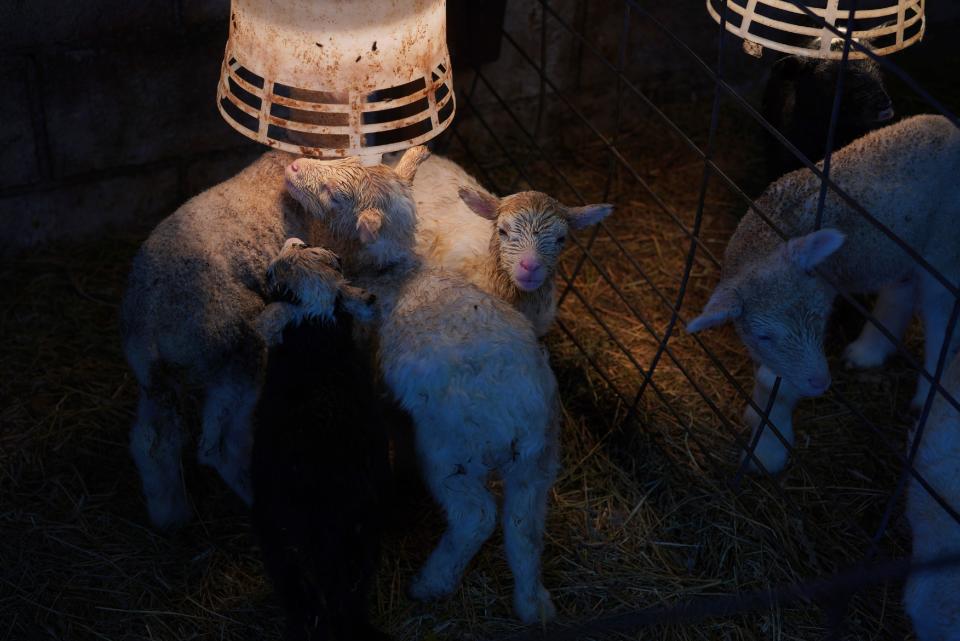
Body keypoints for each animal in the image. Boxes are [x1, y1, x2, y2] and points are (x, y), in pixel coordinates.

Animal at [282, 148, 564, 624]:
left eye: (334, 194)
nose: (294, 167)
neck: (396, 273)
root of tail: (519, 416)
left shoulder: (382, 389)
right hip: (537, 463)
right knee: (524, 528)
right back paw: (533, 604)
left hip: (453, 452)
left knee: (477, 517)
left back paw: (433, 582)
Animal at [688, 115, 960, 472]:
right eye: (764, 336)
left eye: (821, 320)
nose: (821, 383)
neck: (767, 238)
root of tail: (947, 125)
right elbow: (767, 376)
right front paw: (759, 418)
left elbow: (776, 384)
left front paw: (768, 450)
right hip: (902, 245)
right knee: (900, 289)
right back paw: (869, 350)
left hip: (943, 249)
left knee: (941, 325)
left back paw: (926, 399)